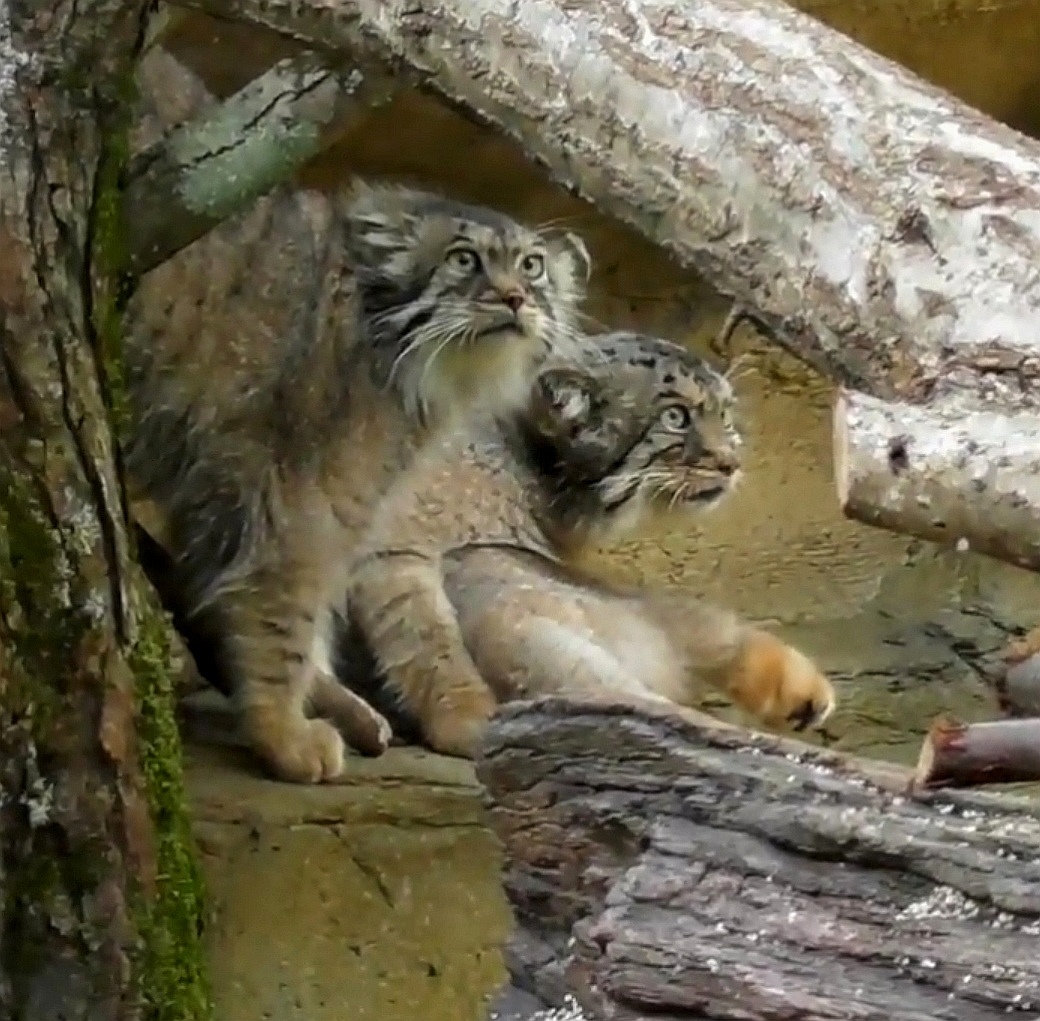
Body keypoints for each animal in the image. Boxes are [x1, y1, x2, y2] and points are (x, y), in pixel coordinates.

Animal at [123, 181, 586, 781]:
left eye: (532, 266)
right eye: (464, 259)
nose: (515, 298)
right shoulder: (298, 502)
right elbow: (287, 617)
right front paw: (283, 733)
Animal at [347, 332, 836, 756]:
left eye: (726, 415)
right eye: (675, 417)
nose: (731, 463)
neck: (525, 461)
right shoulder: (397, 547)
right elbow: (426, 642)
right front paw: (467, 719)